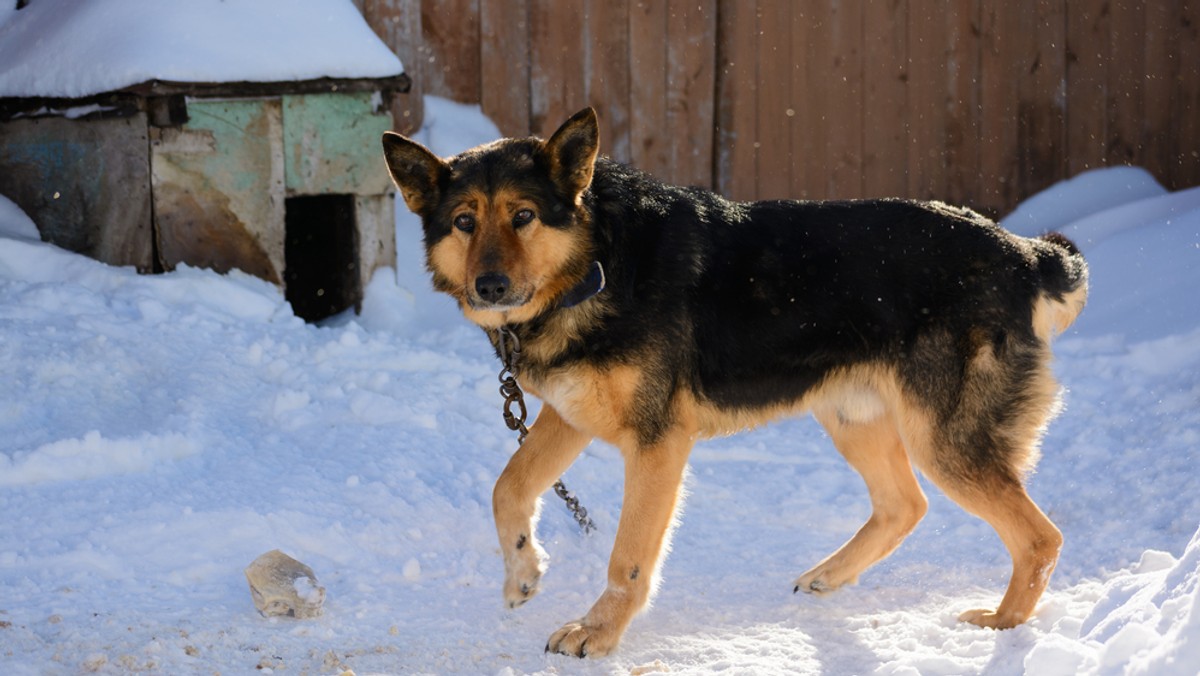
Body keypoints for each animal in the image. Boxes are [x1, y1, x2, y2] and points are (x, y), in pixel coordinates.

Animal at [381, 108, 1089, 657]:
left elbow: (627, 558)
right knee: (904, 506)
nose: (489, 286)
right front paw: (524, 571)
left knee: (1040, 537)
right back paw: (831, 577)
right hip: (853, 418)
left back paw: (1002, 626)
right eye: (465, 222)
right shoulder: (571, 415)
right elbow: (508, 486)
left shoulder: (658, 444)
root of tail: (1024, 253)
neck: (599, 260)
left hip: (943, 441)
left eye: (524, 215)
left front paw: (598, 633)